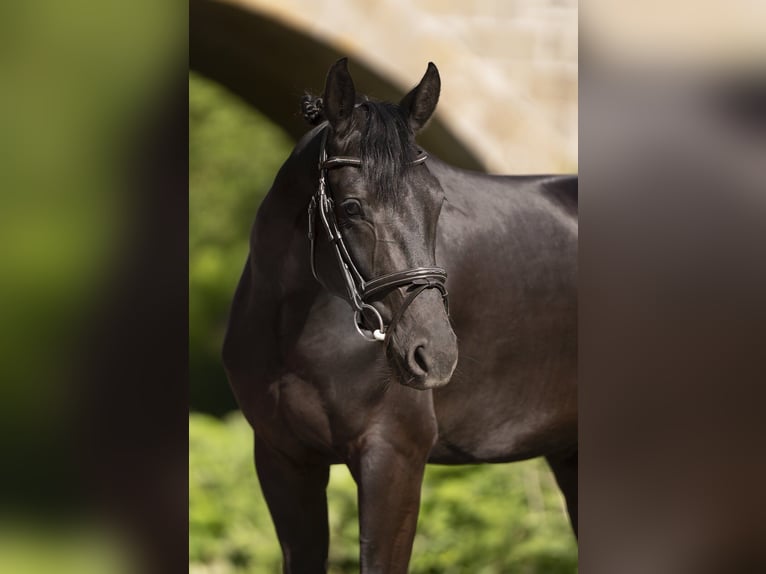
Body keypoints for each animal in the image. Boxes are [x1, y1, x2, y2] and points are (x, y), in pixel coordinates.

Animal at [223, 58, 577, 573]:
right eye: (351, 207)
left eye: (437, 202)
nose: (435, 354)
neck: (290, 329)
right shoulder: (283, 461)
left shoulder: (393, 456)